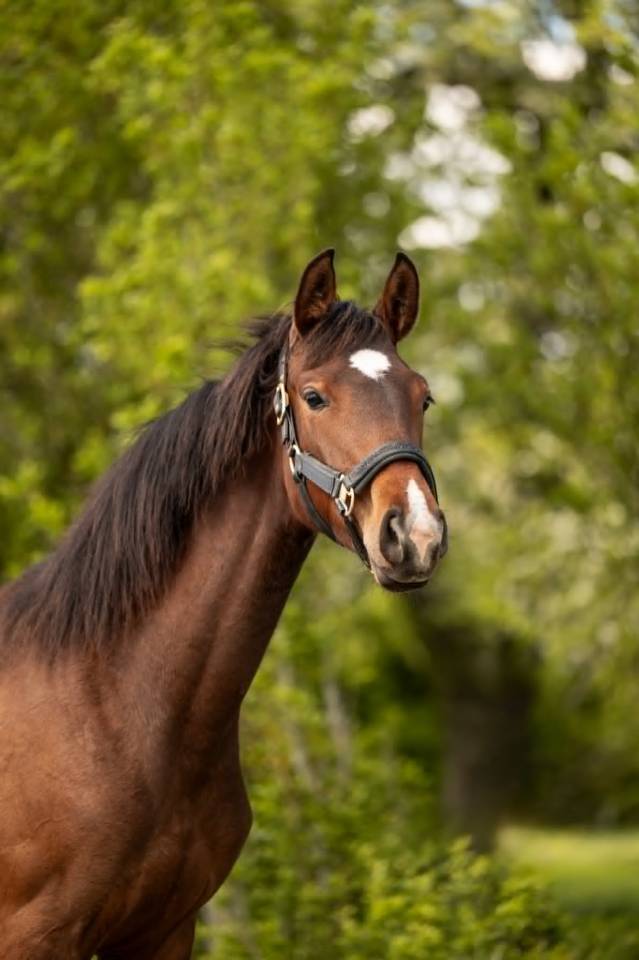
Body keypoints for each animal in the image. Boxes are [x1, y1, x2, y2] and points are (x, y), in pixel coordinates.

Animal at [0, 249, 446, 959]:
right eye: (314, 397)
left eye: (422, 396)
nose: (416, 535)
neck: (118, 707)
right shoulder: (35, 937)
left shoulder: (164, 931)